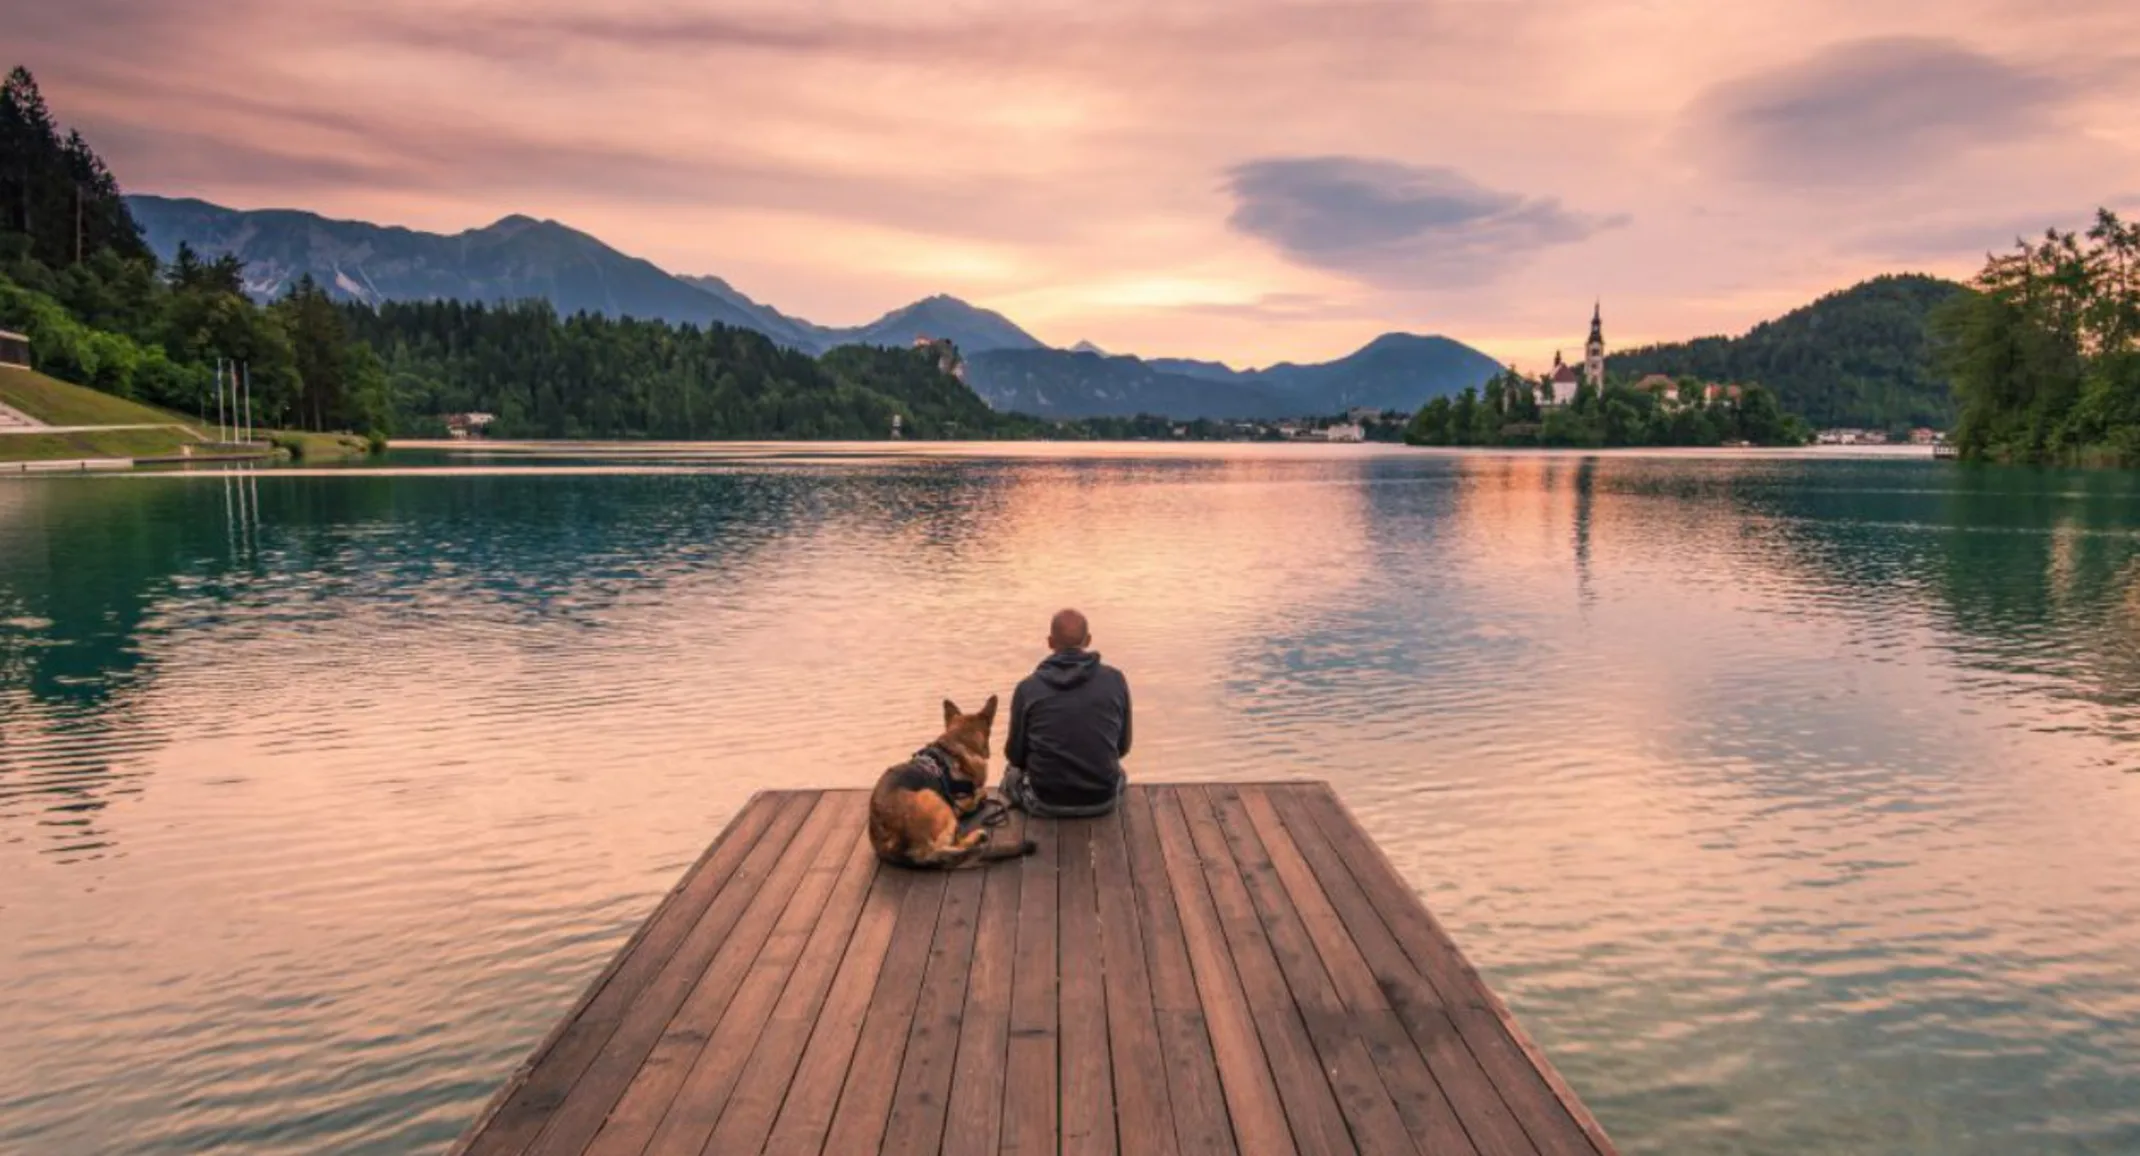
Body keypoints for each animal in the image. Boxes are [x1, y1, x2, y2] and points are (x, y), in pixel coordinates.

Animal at [868, 693, 1035, 864]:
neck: (957, 742)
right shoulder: (961, 801)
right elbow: (980, 793)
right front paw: (979, 797)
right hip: (931, 796)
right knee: (953, 843)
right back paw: (976, 836)